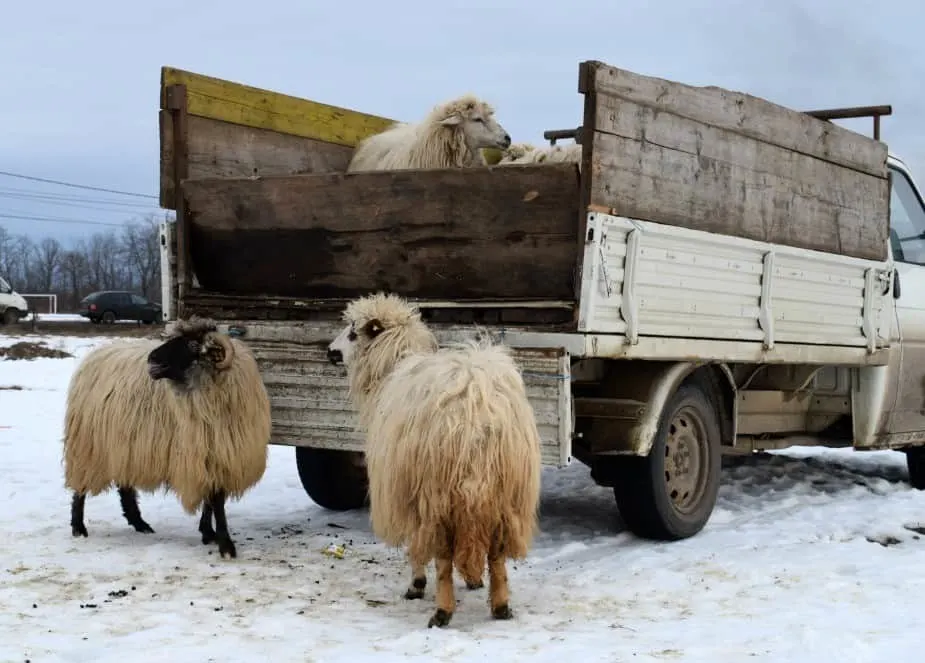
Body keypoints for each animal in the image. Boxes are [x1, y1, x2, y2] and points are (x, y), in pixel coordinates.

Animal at [62, 320, 268, 556]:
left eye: (192, 344)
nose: (151, 359)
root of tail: (96, 354)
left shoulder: (218, 455)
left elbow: (212, 500)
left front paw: (209, 533)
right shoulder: (203, 453)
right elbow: (216, 501)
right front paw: (225, 544)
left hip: (123, 444)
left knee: (124, 486)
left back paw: (139, 523)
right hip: (88, 444)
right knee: (80, 487)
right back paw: (78, 527)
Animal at [324, 294, 540, 632]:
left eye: (353, 333)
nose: (329, 351)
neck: (392, 366)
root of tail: (475, 408)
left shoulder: (406, 489)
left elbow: (415, 545)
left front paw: (416, 583)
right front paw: (474, 583)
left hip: (437, 492)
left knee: (443, 556)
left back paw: (442, 611)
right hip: (506, 492)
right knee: (496, 553)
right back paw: (500, 605)